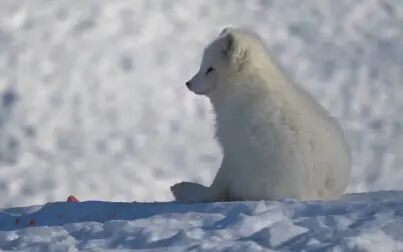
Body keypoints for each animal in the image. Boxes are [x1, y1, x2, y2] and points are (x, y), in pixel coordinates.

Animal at [172, 27, 352, 202]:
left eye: (210, 69)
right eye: (203, 66)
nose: (188, 83)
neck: (245, 89)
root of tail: (320, 193)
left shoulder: (232, 148)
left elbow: (217, 184)